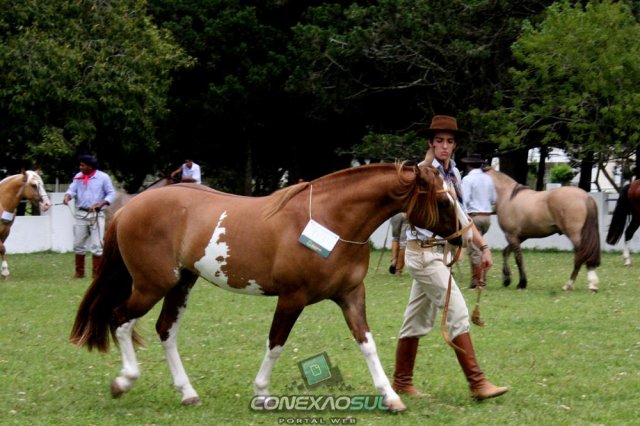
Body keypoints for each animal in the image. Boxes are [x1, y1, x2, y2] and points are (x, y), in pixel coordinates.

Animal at [69, 162, 469, 412]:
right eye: (442, 199)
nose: (465, 237)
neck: (333, 221)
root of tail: (129, 208)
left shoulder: (351, 296)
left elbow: (367, 344)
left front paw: (390, 397)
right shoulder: (293, 298)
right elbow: (276, 343)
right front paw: (262, 394)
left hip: (181, 283)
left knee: (165, 330)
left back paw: (188, 393)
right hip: (152, 285)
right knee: (120, 319)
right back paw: (124, 381)